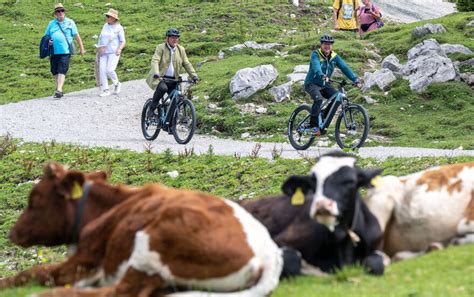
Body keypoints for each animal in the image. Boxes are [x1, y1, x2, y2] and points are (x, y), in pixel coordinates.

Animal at [0, 163, 282, 294]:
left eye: (34, 200)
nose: (12, 232)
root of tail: (267, 254)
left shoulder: (83, 261)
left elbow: (33, 271)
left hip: (152, 245)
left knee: (120, 293)